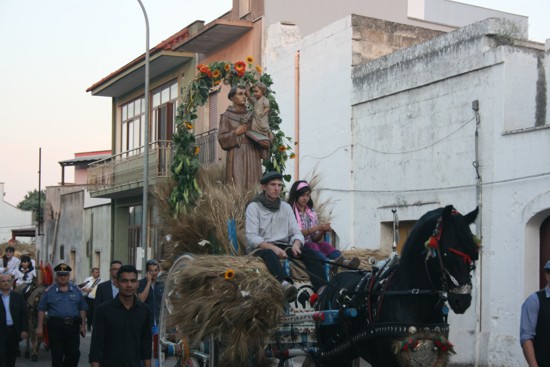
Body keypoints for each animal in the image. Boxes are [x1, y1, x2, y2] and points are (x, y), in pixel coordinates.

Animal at [308, 206, 480, 367]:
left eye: (473, 254)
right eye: (446, 253)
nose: (463, 300)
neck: (412, 296)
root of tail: (328, 286)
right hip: (332, 354)